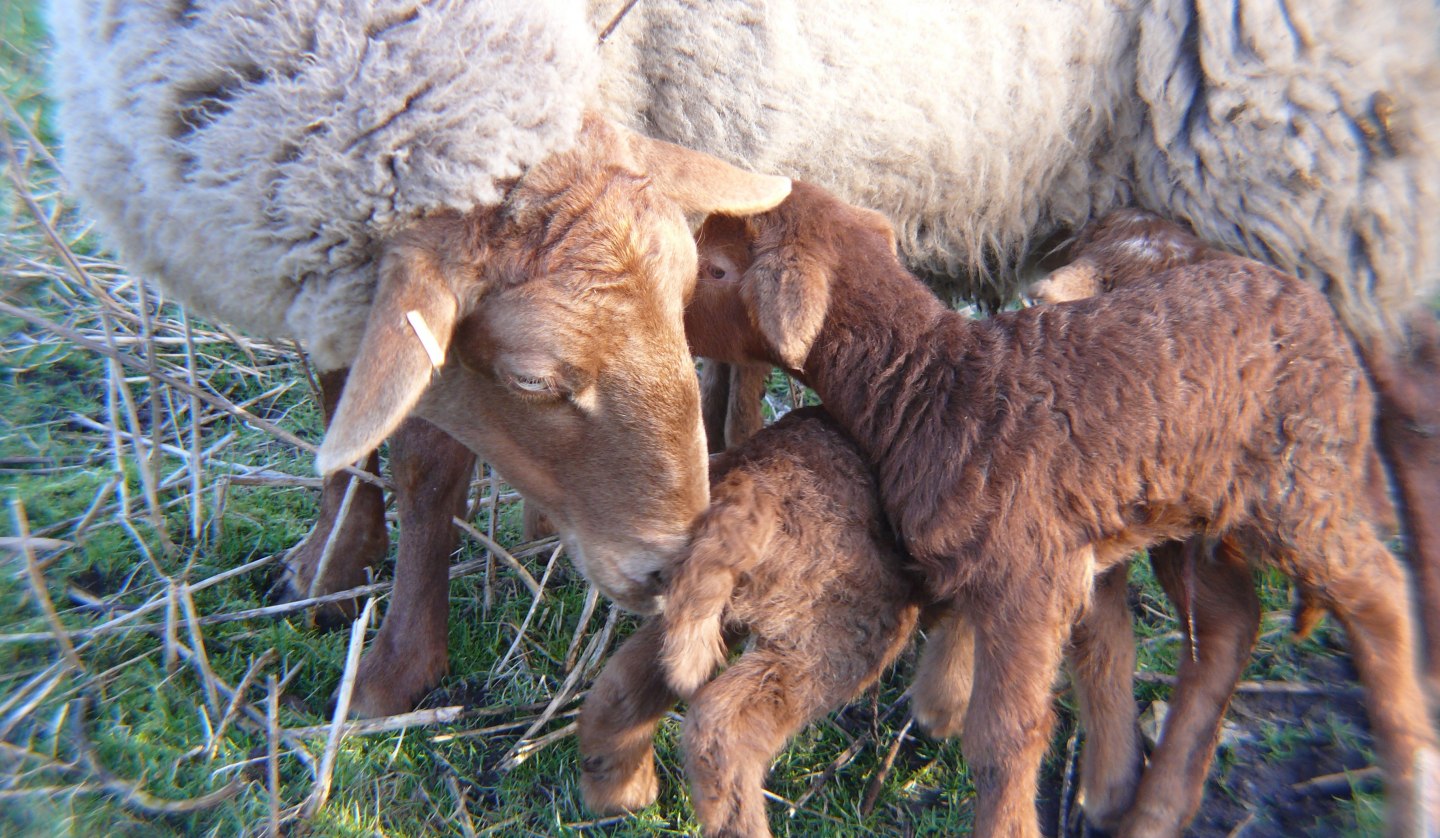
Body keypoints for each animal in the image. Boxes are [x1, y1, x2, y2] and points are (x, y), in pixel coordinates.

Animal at [581, 406, 927, 838]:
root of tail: (750, 485)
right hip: (835, 630)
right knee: (724, 728)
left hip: (707, 607)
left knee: (624, 683)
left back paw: (620, 791)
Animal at [685, 184, 1440, 838]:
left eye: (718, 268)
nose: (670, 311)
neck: (932, 384)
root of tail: (1325, 314)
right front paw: (943, 704)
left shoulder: (1029, 576)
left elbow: (1007, 737)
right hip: (1201, 507)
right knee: (1230, 620)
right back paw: (1149, 809)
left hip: (1299, 479)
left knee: (1378, 592)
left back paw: (1411, 778)